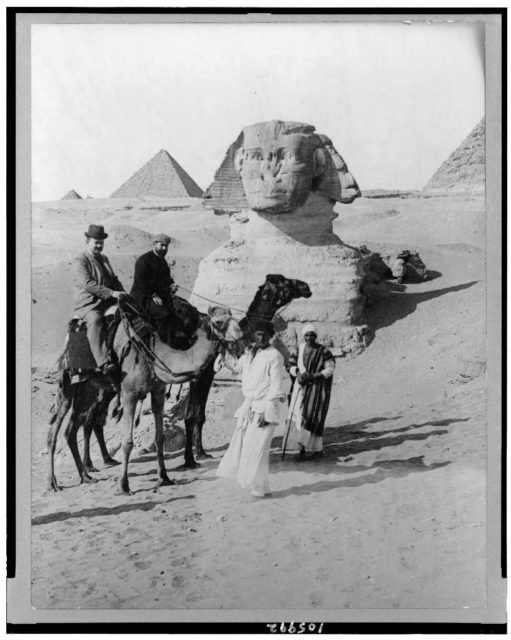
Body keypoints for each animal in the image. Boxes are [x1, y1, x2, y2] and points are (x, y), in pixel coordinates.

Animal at [47, 306, 243, 496]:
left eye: (231, 314)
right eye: (218, 321)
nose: (240, 335)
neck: (154, 354)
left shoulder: (158, 392)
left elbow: (159, 437)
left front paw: (164, 478)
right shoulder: (129, 395)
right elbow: (127, 443)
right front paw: (123, 486)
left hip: (88, 388)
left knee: (71, 430)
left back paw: (86, 476)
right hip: (67, 384)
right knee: (54, 430)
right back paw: (53, 483)